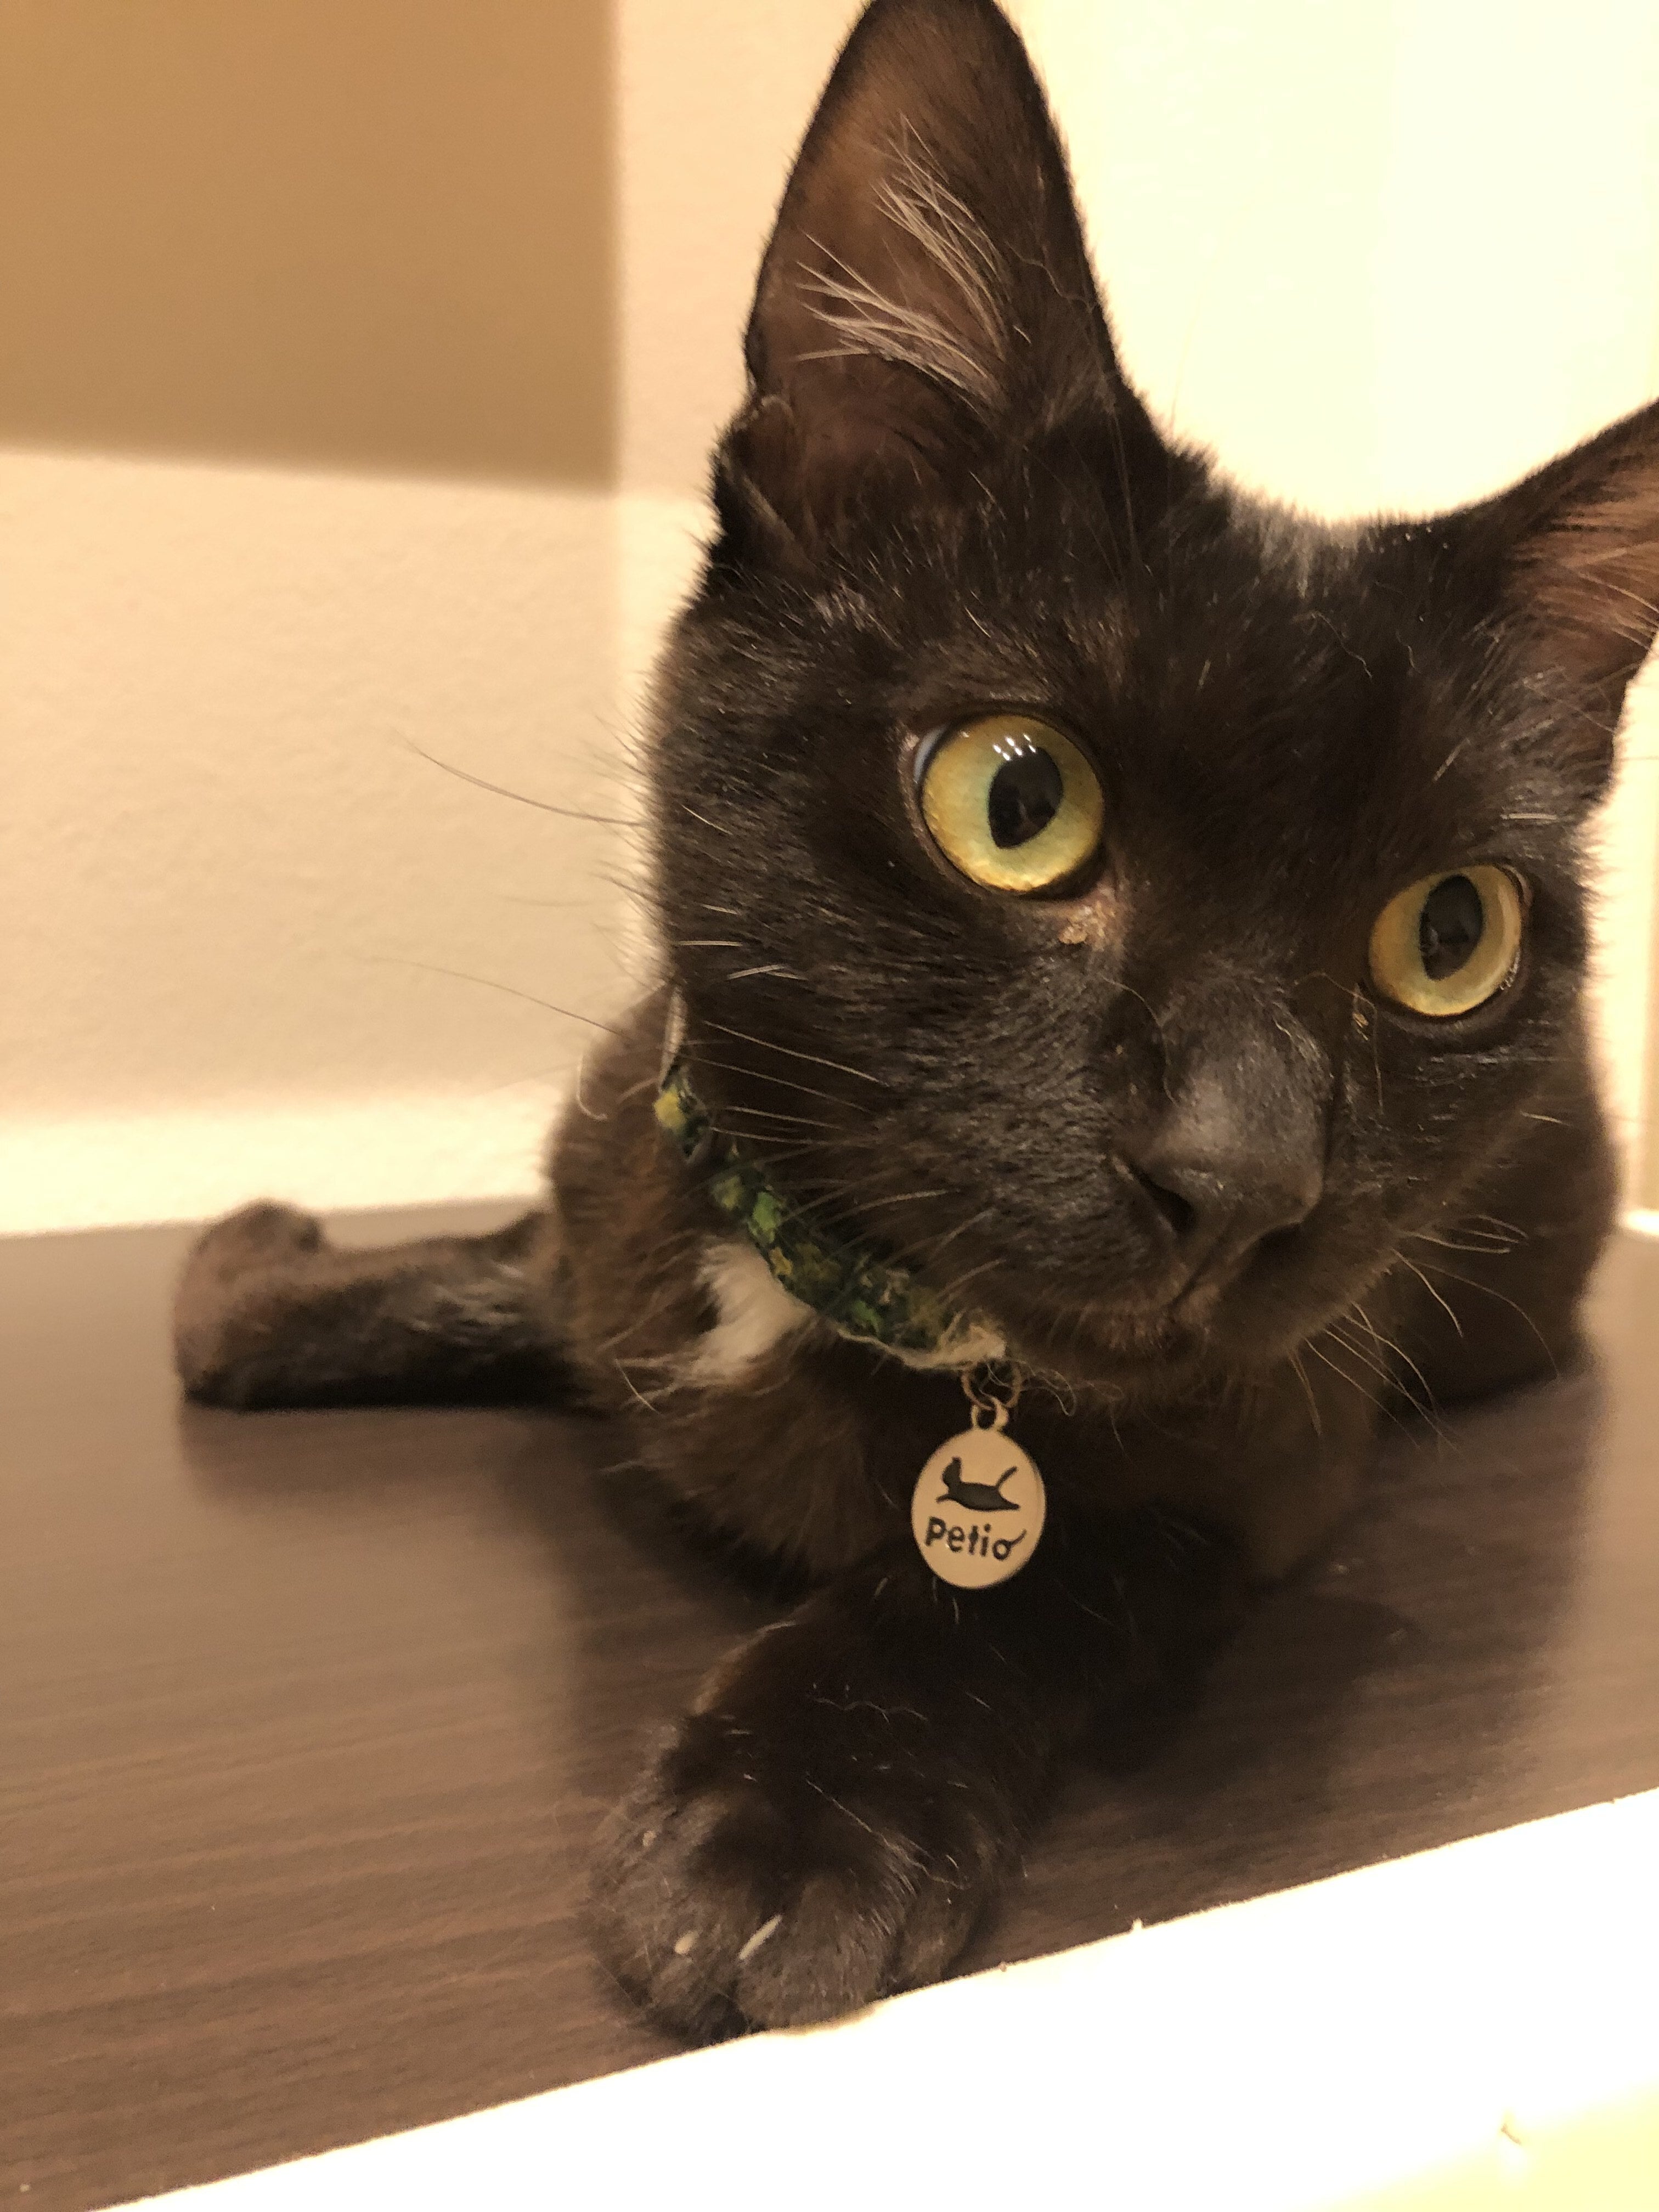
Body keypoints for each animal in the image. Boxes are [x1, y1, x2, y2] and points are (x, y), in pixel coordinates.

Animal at [173, 0, 1659, 2042]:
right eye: (1015, 803)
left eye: (1448, 935)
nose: (1243, 1174)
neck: (815, 1289)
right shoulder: (630, 1174)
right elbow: (513, 1262)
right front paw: (268, 1273)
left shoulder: (1270, 1453)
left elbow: (1022, 1582)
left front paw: (787, 1826)